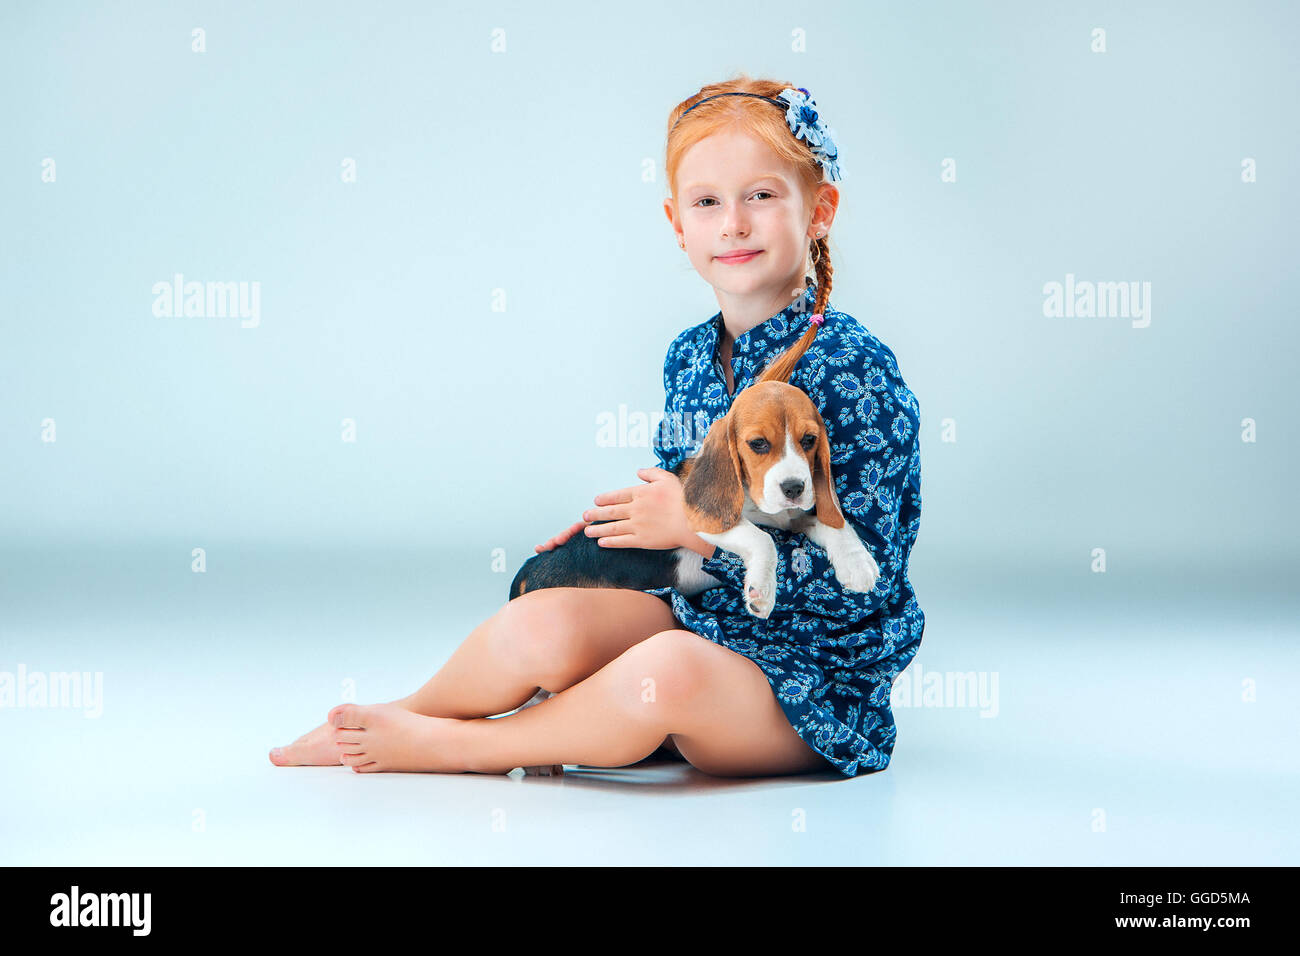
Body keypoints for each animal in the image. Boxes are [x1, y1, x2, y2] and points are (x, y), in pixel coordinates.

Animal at [509, 316, 883, 621]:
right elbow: (762, 538)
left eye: (809, 440)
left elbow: (833, 524)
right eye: (758, 444)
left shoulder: (793, 517)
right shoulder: (702, 518)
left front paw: (858, 563)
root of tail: (529, 568)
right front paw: (762, 591)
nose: (793, 488)